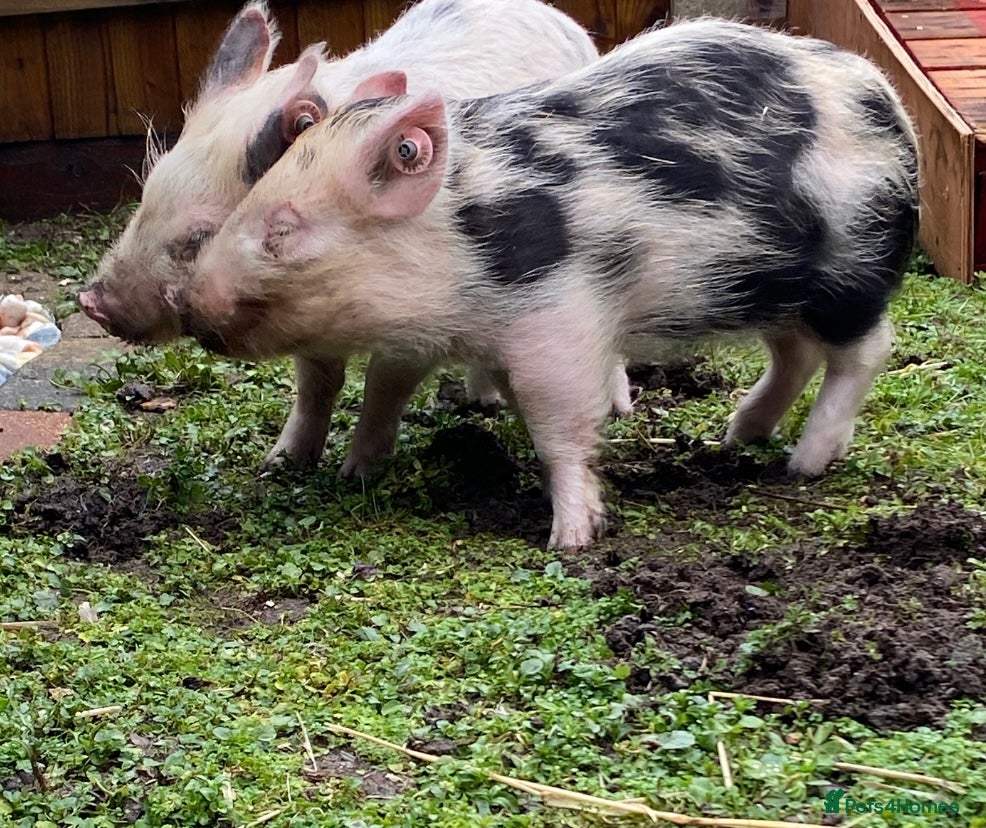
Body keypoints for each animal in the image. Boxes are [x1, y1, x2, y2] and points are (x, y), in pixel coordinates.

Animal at [77, 0, 632, 475]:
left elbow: (384, 386)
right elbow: (316, 384)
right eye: (148, 191)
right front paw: (279, 465)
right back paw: (482, 402)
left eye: (199, 235)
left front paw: (356, 474)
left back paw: (617, 408)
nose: (89, 301)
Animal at [184, 18, 919, 549]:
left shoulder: (557, 317)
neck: (463, 239)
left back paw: (805, 464)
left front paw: (570, 540)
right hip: (768, 286)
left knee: (865, 351)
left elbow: (556, 421)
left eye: (282, 229)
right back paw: (739, 436)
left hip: (851, 267)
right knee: (794, 354)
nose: (186, 301)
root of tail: (889, 105)